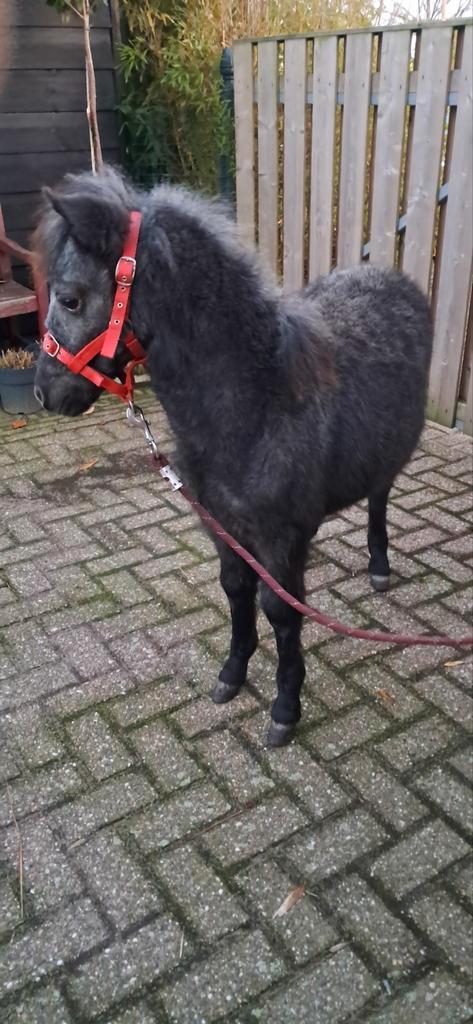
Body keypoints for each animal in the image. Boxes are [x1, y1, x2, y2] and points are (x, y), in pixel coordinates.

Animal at [33, 167, 433, 746]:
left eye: (69, 299)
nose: (45, 394)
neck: (256, 401)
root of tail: (392, 278)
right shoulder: (221, 525)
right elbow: (236, 592)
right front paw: (232, 674)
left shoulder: (281, 538)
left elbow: (281, 611)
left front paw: (285, 707)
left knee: (380, 497)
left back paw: (379, 566)